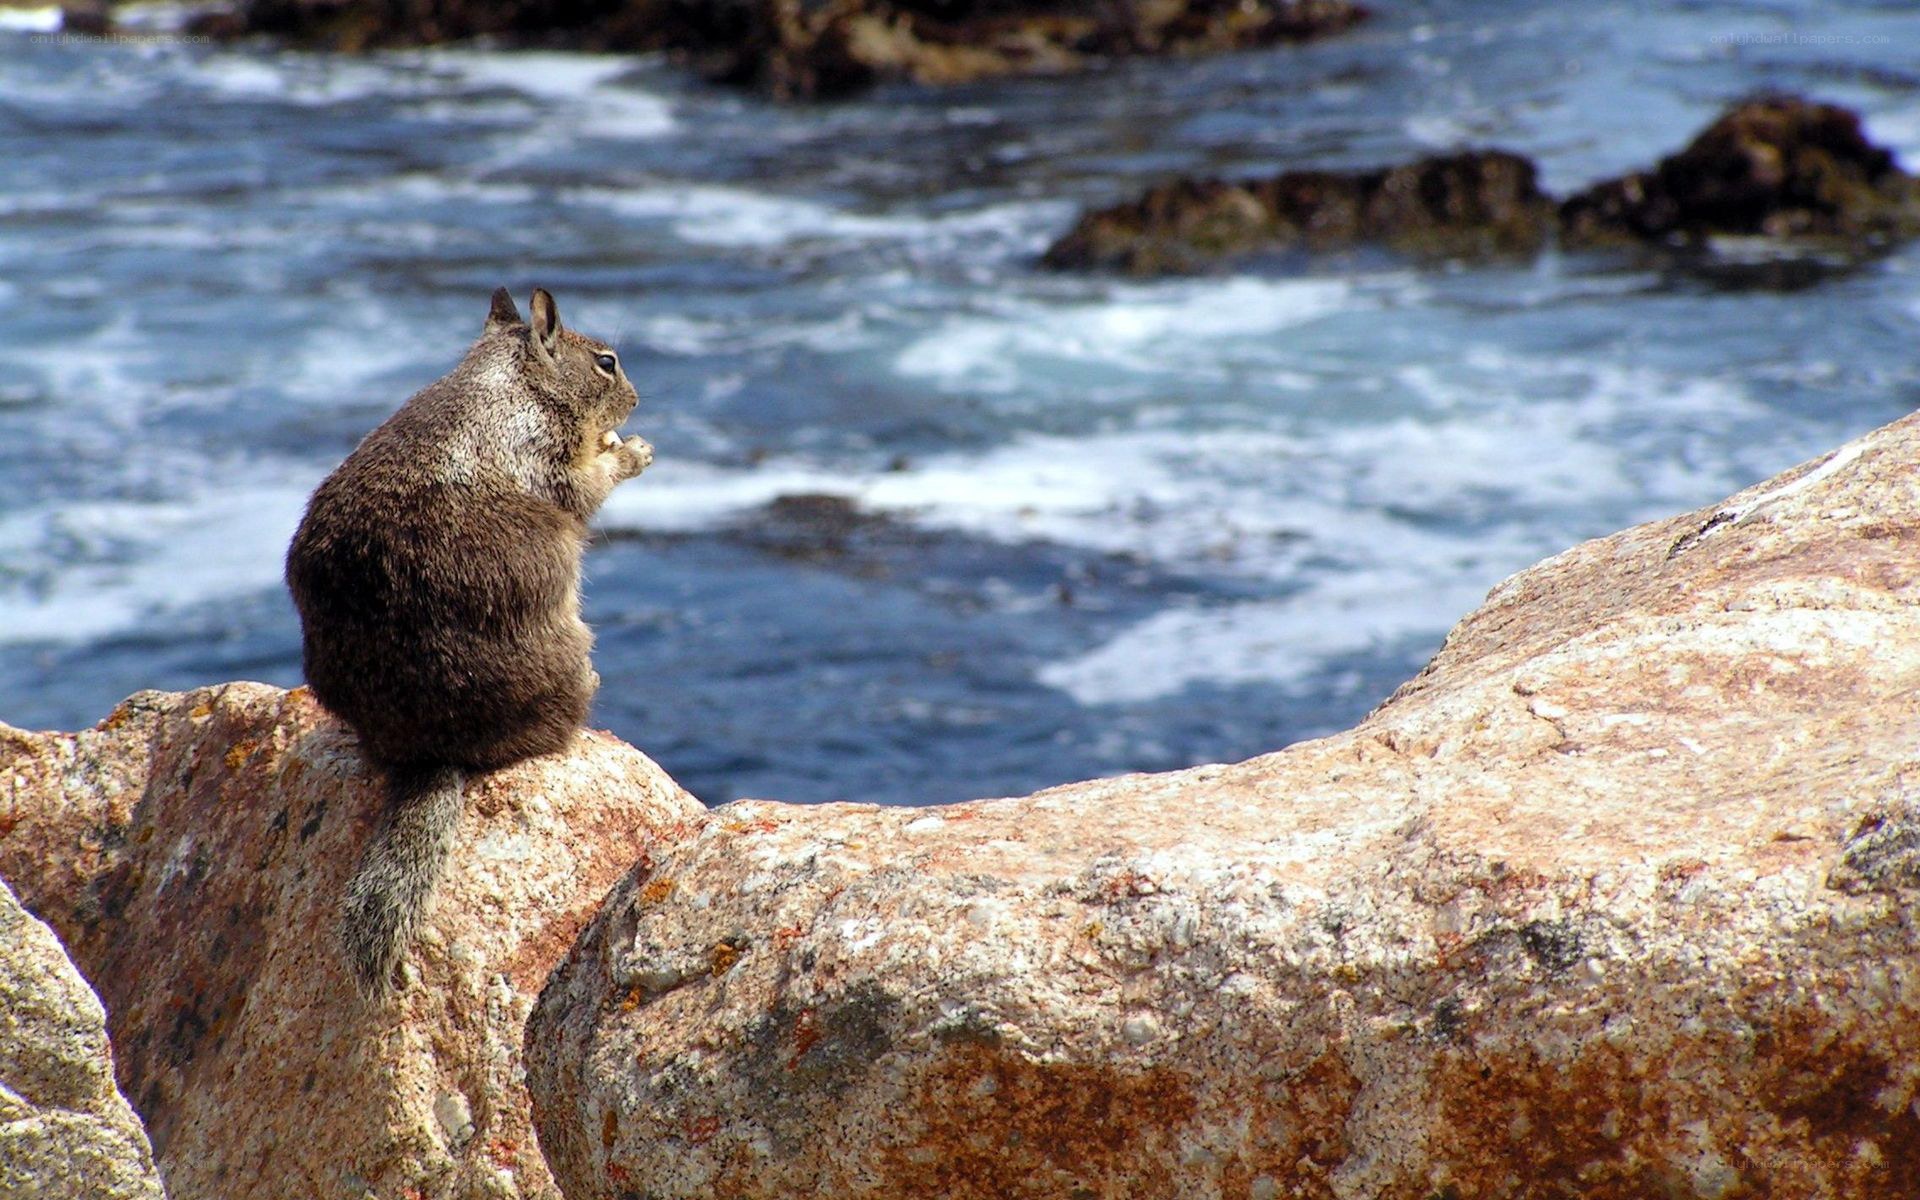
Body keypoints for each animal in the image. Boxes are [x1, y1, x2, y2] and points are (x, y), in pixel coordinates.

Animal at [285, 287, 652, 997]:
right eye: (607, 362)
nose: (637, 398)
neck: (511, 379)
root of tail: (432, 749)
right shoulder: (548, 455)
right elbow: (585, 486)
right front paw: (633, 450)